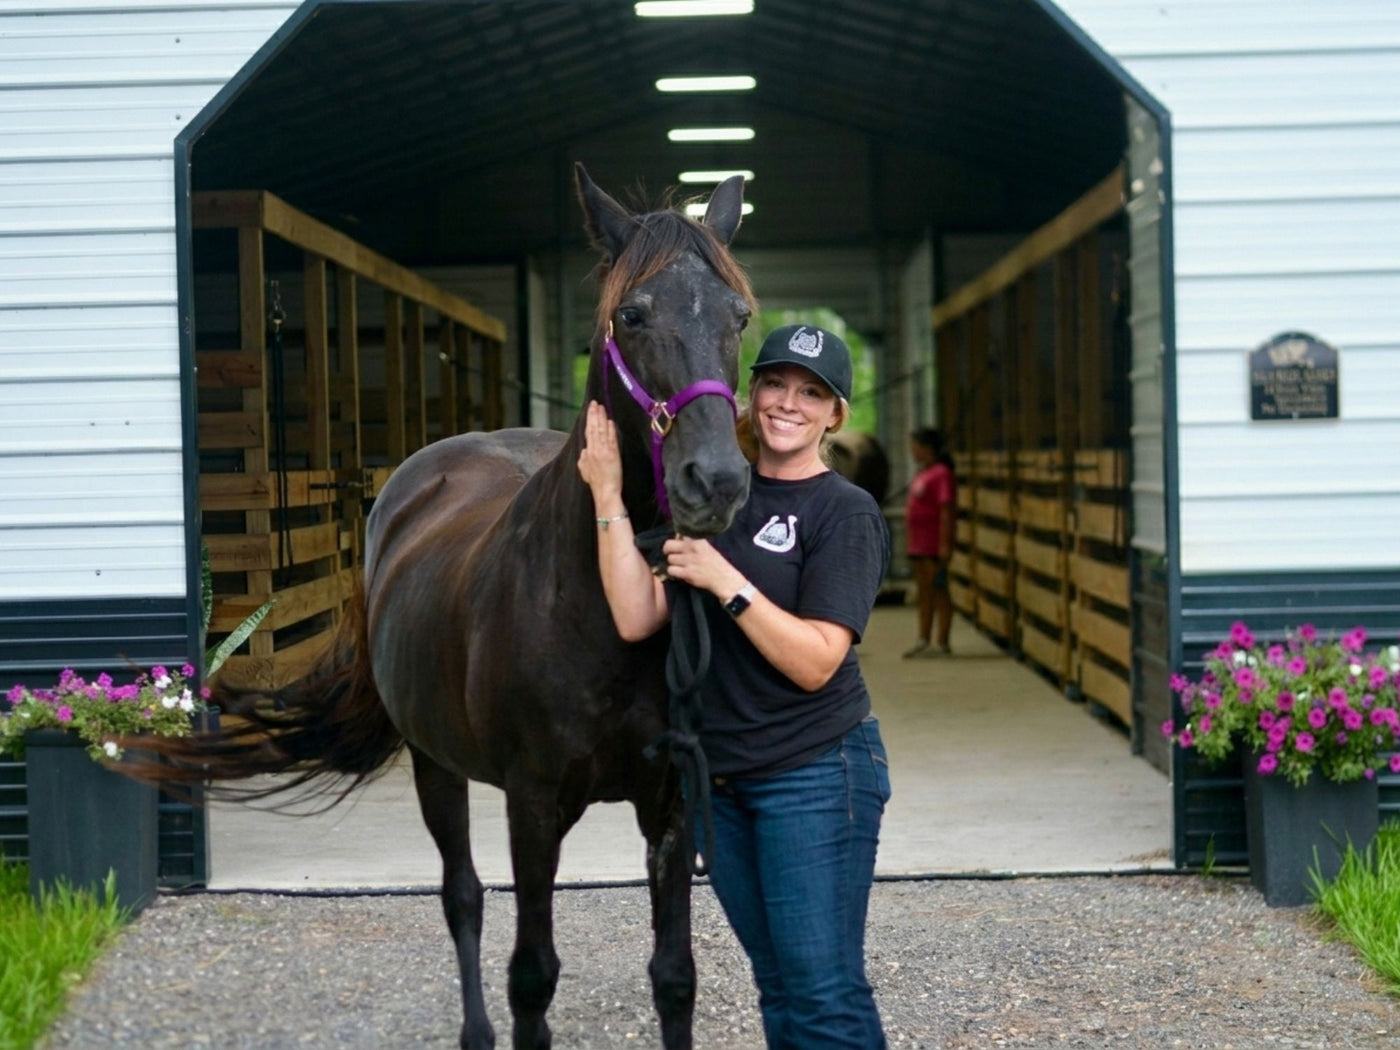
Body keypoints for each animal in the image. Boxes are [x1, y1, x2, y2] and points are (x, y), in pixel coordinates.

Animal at [140, 165, 756, 1050]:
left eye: (740, 316)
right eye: (632, 315)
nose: (717, 482)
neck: (599, 609)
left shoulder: (671, 800)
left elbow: (674, 978)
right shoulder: (533, 806)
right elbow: (531, 976)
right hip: (435, 761)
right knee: (462, 896)